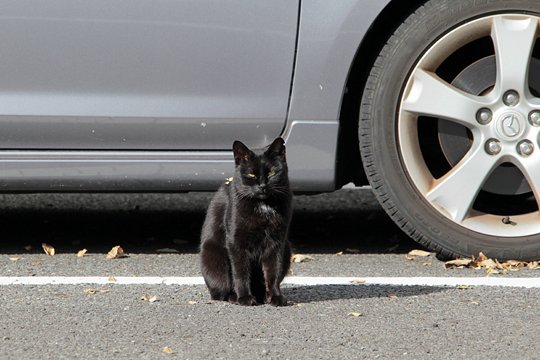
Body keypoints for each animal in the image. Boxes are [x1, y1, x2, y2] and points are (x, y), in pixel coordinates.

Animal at [199, 138, 294, 306]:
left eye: (272, 172)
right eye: (251, 173)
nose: (262, 186)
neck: (263, 205)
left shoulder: (277, 242)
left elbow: (273, 272)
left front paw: (276, 297)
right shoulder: (236, 242)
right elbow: (241, 272)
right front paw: (244, 297)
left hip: (287, 248)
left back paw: (264, 297)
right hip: (211, 255)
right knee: (220, 292)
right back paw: (234, 297)